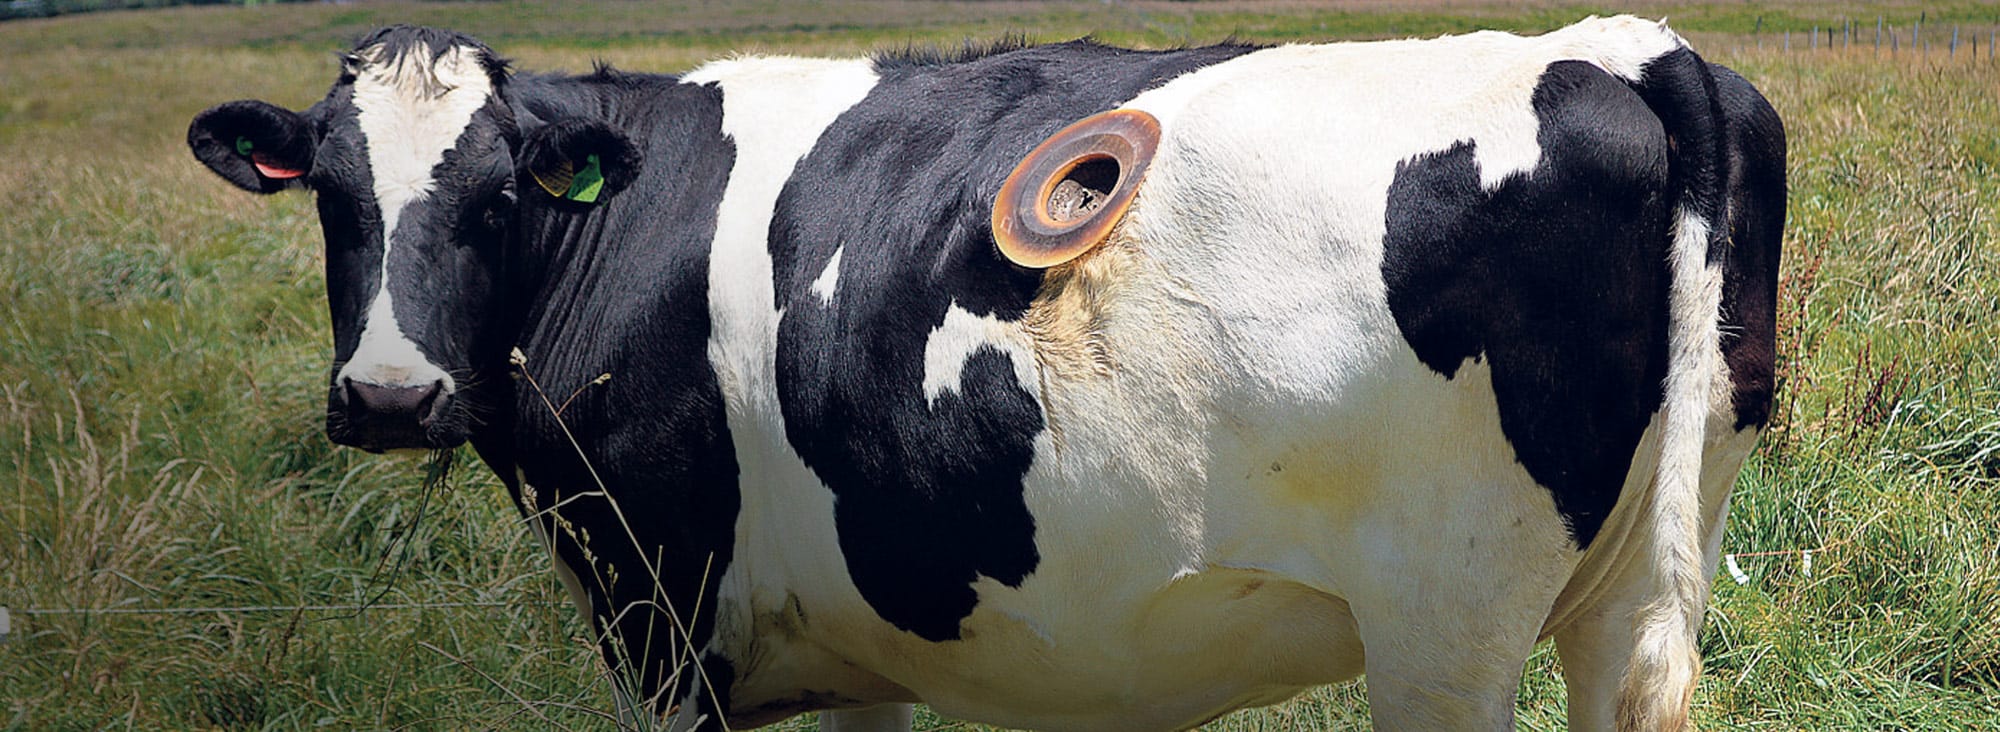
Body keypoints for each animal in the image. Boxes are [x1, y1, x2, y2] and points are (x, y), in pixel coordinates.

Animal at [188, 16, 1784, 731]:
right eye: (331, 195)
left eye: (499, 195)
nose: (390, 398)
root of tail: (1617, 50)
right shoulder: (847, 641)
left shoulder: (658, 610)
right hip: (1633, 591)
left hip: (1442, 626)